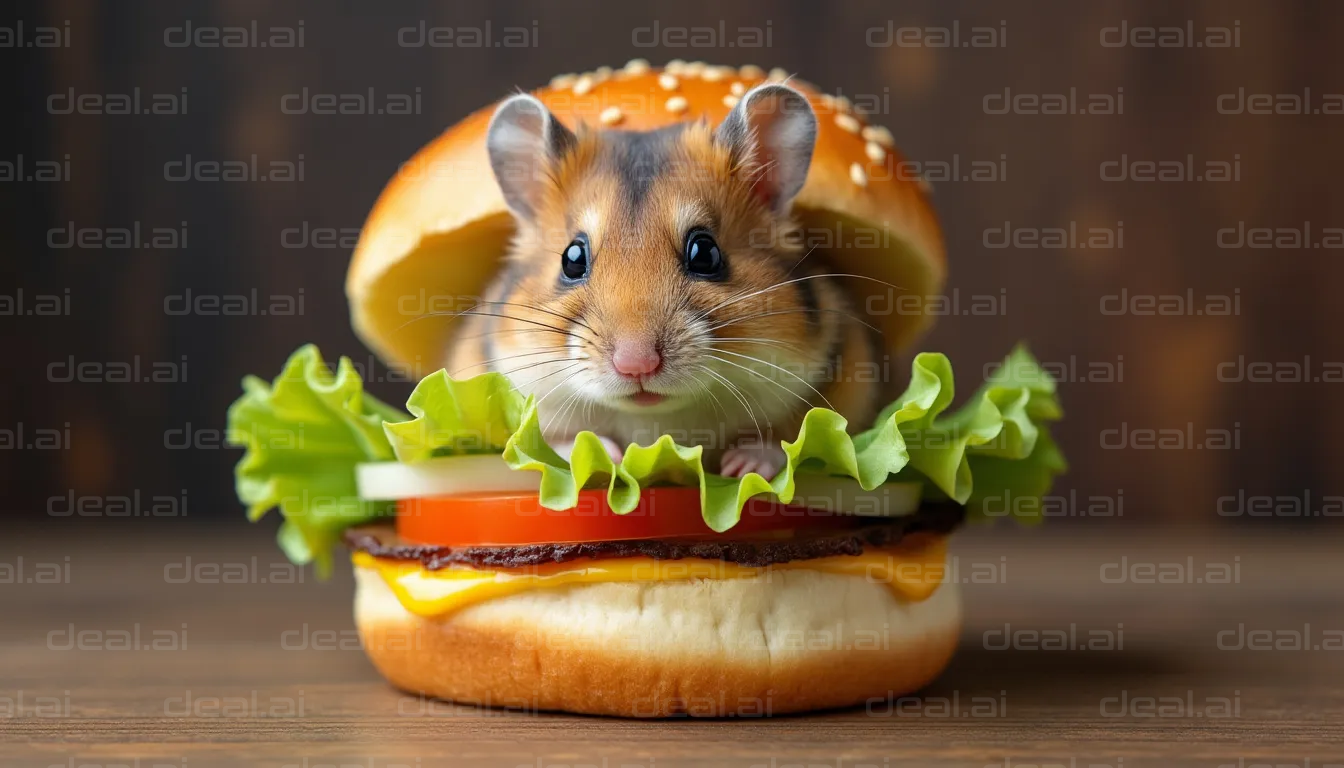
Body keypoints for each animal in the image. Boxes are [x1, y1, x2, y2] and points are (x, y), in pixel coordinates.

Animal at [447, 84, 880, 479]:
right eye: (572, 259)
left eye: (705, 253)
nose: (635, 365)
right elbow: (554, 440)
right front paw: (606, 454)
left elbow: (785, 438)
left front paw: (740, 467)